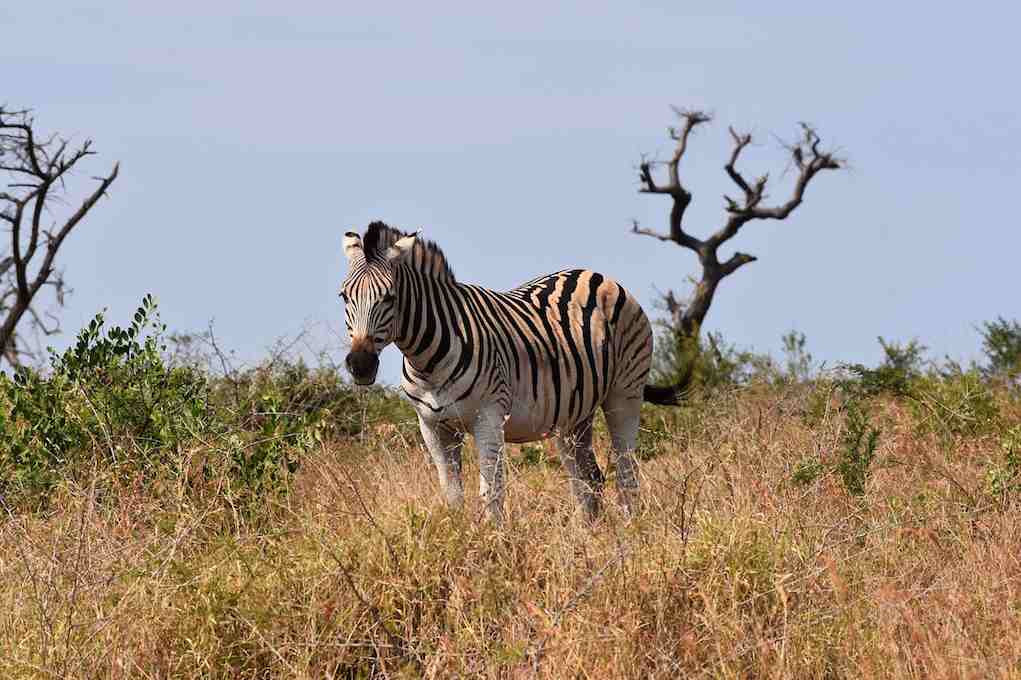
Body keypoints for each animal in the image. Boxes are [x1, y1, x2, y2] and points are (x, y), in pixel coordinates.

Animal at [340, 221, 681, 522]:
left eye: (390, 298)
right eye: (343, 296)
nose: (360, 365)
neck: (427, 362)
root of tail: (595, 274)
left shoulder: (489, 418)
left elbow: (491, 492)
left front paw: (494, 543)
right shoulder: (432, 426)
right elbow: (452, 495)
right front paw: (457, 538)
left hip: (624, 393)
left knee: (626, 471)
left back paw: (628, 530)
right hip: (573, 415)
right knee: (588, 479)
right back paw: (590, 536)